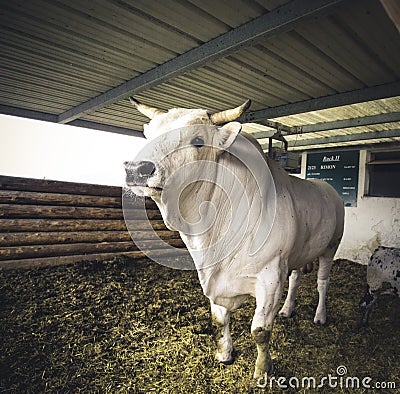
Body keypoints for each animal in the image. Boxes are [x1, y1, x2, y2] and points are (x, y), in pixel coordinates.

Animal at [125, 98, 344, 378]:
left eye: (198, 140)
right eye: (149, 135)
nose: (137, 169)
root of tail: (329, 189)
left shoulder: (270, 278)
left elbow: (260, 331)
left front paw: (262, 370)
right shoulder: (214, 277)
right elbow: (219, 320)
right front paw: (224, 354)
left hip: (331, 246)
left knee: (322, 282)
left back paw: (320, 316)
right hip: (300, 252)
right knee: (296, 278)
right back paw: (287, 309)